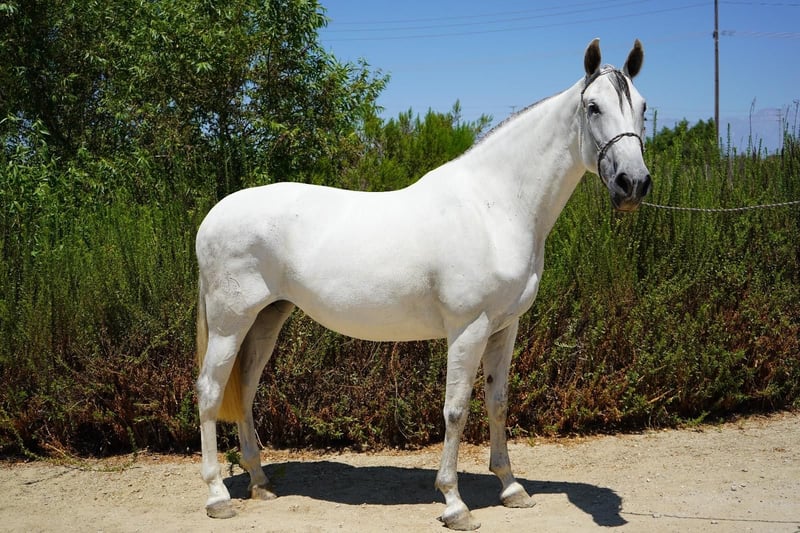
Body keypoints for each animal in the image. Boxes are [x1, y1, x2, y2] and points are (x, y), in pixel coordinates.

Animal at [195, 38, 651, 530]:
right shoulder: (468, 329)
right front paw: (454, 502)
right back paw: (218, 496)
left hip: (266, 319)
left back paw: (260, 482)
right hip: (229, 324)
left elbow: (497, 402)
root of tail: (214, 216)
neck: (493, 207)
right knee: (209, 391)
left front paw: (511, 488)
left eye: (643, 107)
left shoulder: (504, 328)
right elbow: (456, 410)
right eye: (592, 106)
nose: (633, 183)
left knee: (245, 391)